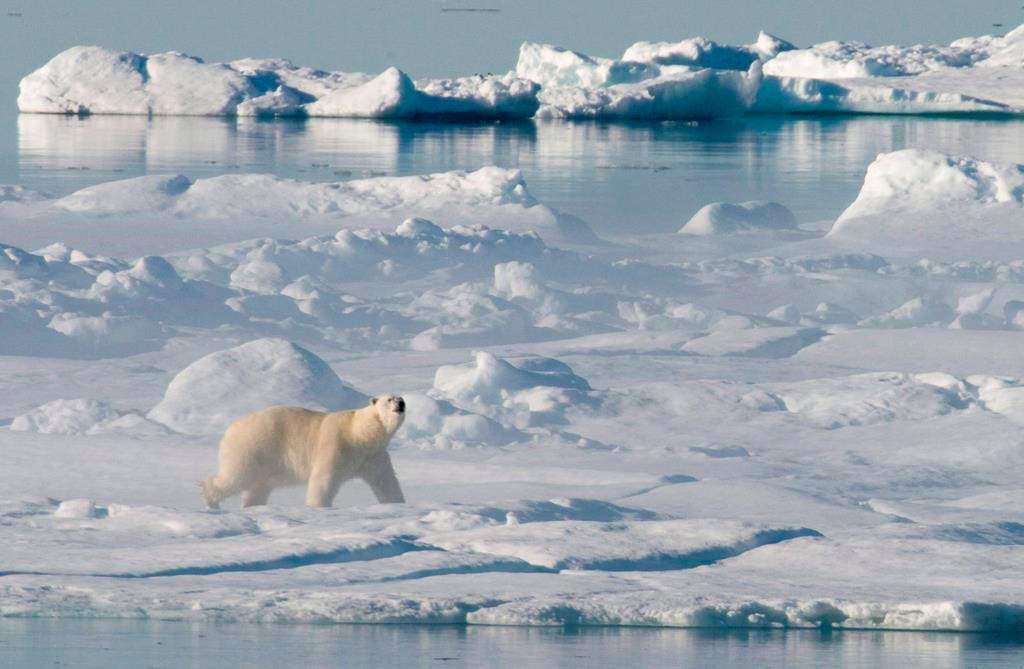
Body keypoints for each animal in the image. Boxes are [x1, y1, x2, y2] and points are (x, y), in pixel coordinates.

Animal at [199, 395, 406, 509]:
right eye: (389, 399)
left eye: (401, 398)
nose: (401, 403)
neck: (360, 434)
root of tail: (230, 429)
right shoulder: (336, 445)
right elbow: (324, 479)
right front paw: (318, 506)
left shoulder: (373, 456)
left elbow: (385, 481)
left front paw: (397, 504)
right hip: (253, 447)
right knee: (237, 477)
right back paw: (211, 500)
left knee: (257, 487)